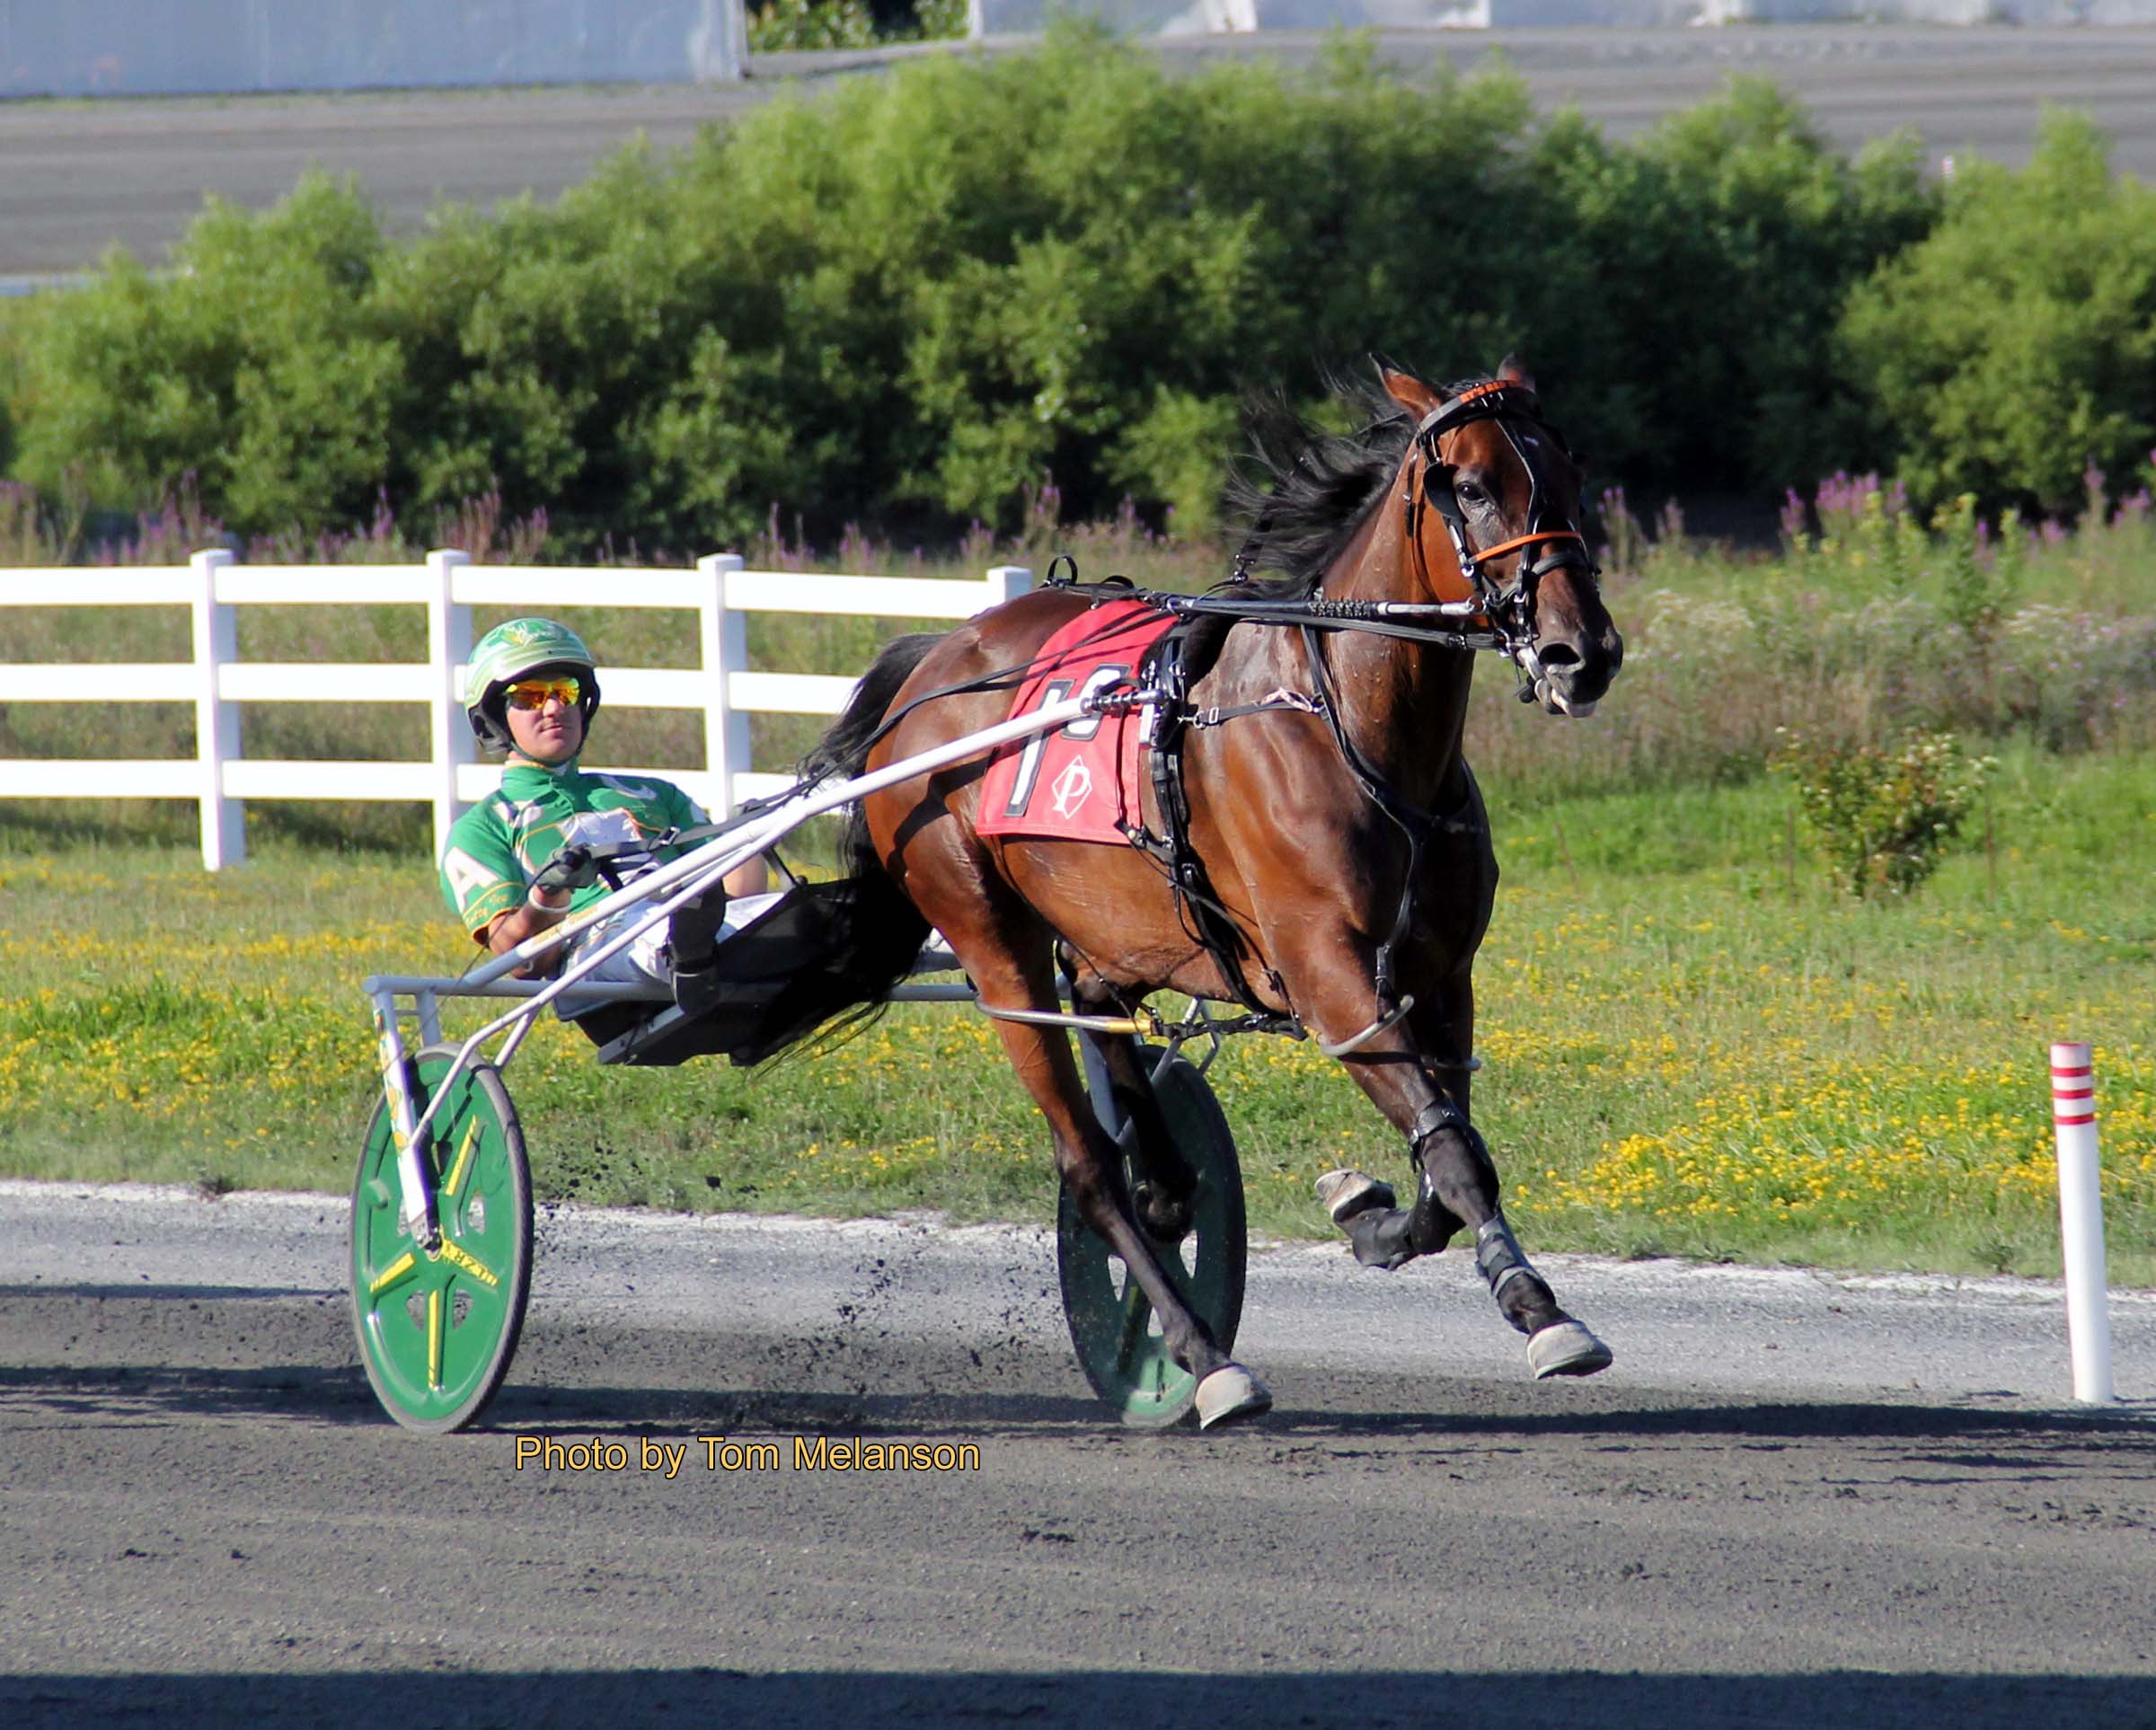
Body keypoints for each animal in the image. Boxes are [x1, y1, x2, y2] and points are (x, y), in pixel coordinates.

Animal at [791, 359, 1625, 1428]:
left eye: (1568, 473)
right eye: (1471, 487)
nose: (1581, 653)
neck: (1346, 722)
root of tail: (925, 671)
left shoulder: (1442, 975)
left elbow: (1449, 1151)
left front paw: (1370, 1217)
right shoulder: (1330, 978)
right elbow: (1451, 1145)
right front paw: (1540, 1310)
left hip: (1117, 925)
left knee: (1104, 1014)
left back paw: (1169, 1190)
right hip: (990, 940)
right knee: (1086, 1163)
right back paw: (1201, 1354)